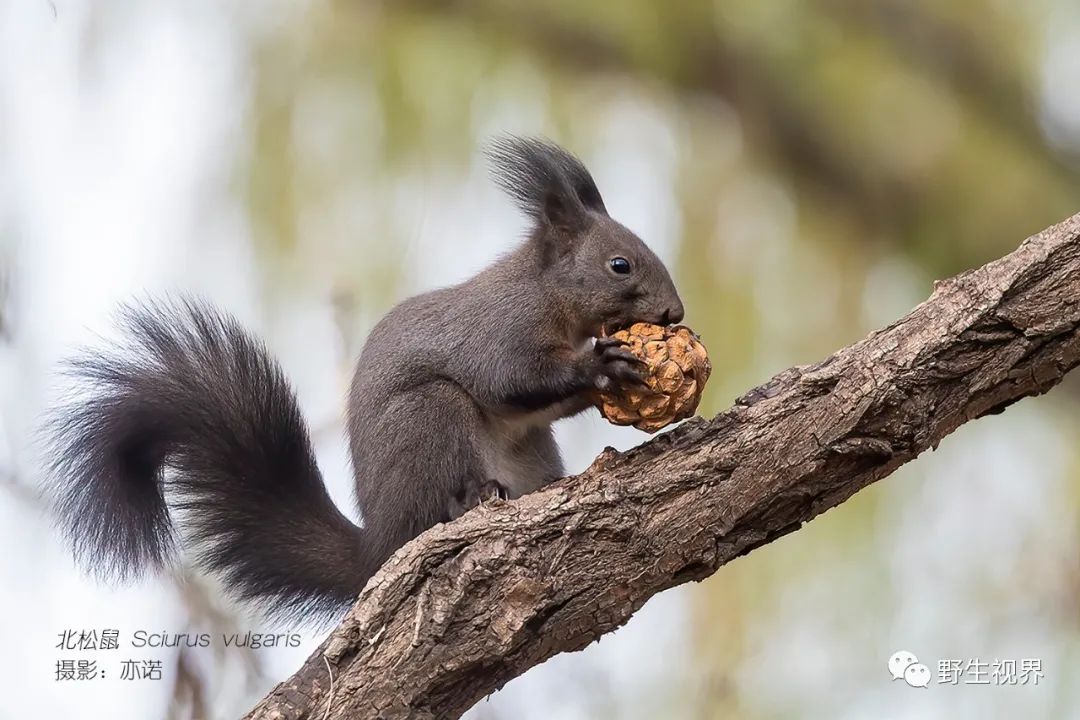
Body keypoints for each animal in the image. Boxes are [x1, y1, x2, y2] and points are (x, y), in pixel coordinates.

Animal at [46, 138, 682, 621]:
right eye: (619, 264)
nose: (675, 314)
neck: (552, 299)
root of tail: (377, 541)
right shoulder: (499, 331)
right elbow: (513, 378)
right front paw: (600, 365)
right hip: (429, 418)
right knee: (435, 499)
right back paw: (469, 499)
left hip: (529, 450)